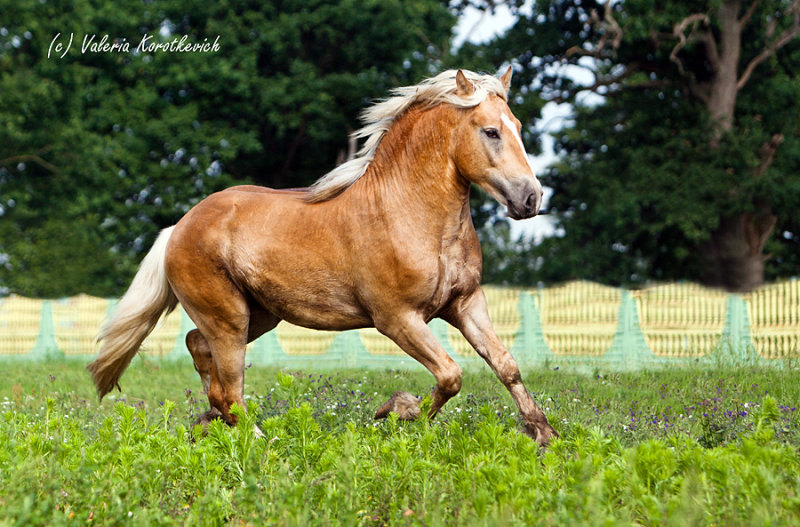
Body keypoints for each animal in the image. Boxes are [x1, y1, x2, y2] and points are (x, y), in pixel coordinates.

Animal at [89, 66, 556, 446]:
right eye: (491, 131)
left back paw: (209, 421)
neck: (409, 213)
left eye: (517, 125)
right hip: (229, 318)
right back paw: (258, 439)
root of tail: (179, 227)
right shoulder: (397, 318)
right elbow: (450, 375)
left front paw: (544, 434)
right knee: (230, 388)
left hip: (258, 315)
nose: (531, 199)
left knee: (198, 350)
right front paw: (395, 413)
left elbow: (505, 364)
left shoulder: (465, 303)